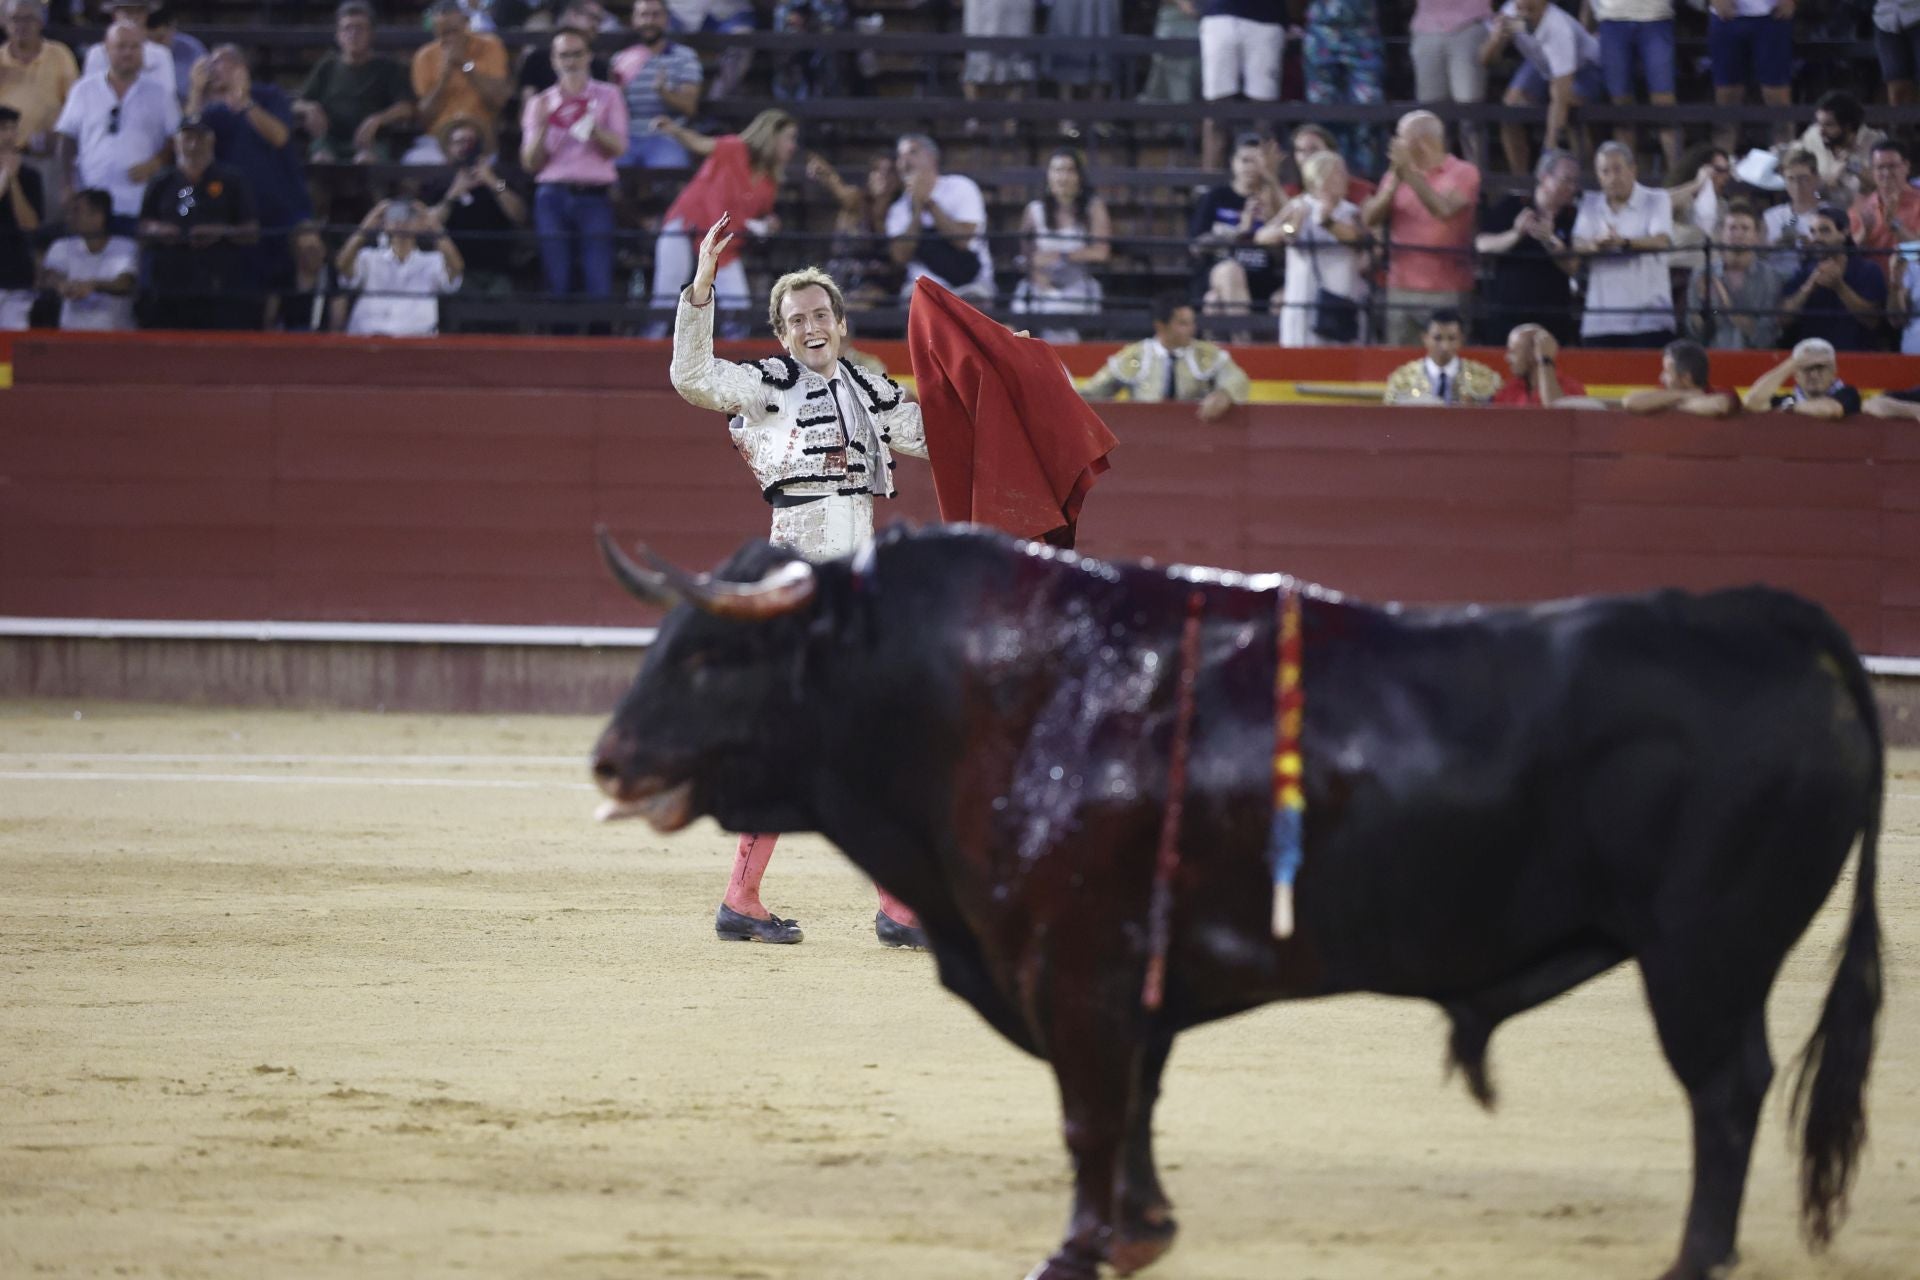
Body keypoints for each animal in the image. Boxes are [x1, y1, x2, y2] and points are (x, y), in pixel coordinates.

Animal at [583, 521, 1873, 1280]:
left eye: (708, 654)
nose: (607, 757)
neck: (989, 689)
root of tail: (1764, 614)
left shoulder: (1077, 973)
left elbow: (1092, 1116)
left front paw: (1077, 1250)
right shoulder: (1129, 983)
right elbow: (1137, 1110)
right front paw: (1142, 1232)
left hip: (1702, 957)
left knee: (1725, 1092)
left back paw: (1694, 1261)